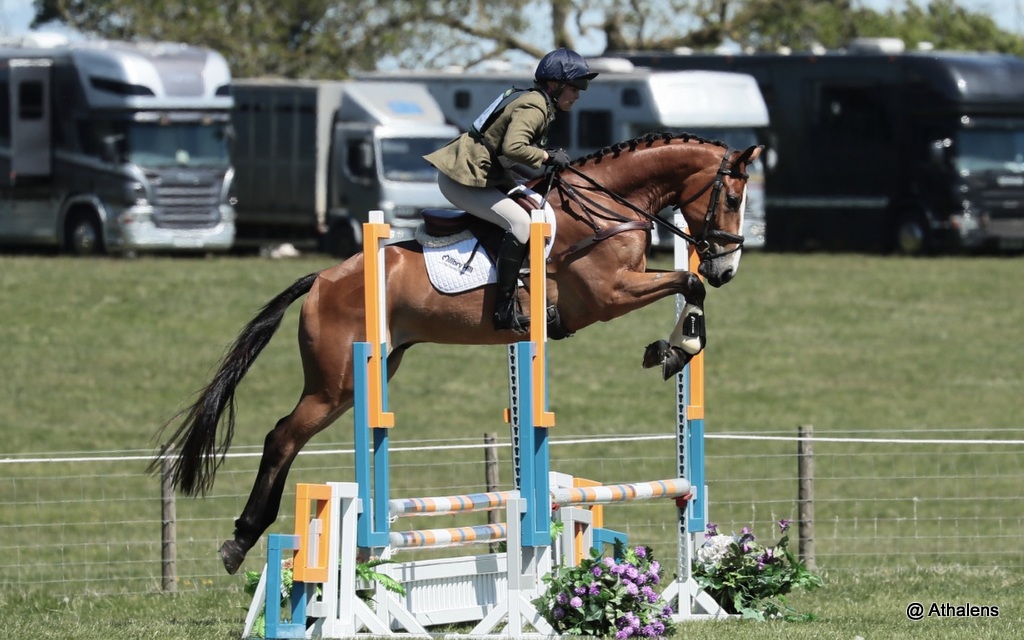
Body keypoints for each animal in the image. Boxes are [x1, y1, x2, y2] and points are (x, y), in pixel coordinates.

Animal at [152, 132, 762, 575]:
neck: (607, 208)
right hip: (335, 383)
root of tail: (323, 278)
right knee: (282, 436)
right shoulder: (607, 294)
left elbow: (688, 285)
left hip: (372, 369)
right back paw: (240, 540)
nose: (728, 269)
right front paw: (675, 348)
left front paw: (671, 348)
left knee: (289, 434)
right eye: (732, 198)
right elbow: (687, 281)